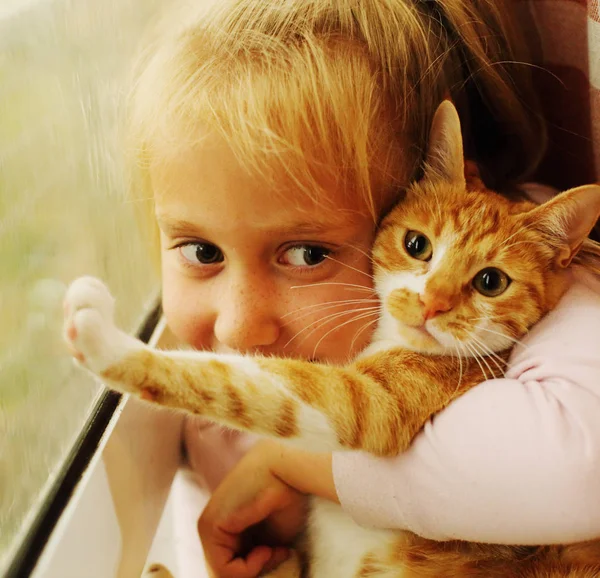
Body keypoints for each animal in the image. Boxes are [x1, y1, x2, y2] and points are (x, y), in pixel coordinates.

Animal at [65, 101, 600, 572]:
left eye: (491, 281)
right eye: (417, 245)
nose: (432, 303)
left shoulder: (372, 400)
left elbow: (232, 380)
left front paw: (102, 340)